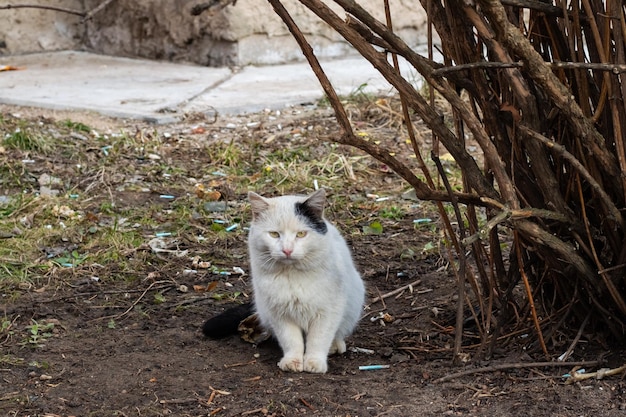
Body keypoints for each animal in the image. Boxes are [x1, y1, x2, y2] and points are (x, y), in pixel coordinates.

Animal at [245, 189, 360, 374]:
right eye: (274, 234)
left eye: (301, 234)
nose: (287, 250)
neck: (293, 277)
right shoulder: (279, 314)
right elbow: (291, 340)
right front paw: (292, 361)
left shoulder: (327, 312)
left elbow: (318, 339)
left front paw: (314, 362)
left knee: (337, 333)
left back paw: (335, 346)